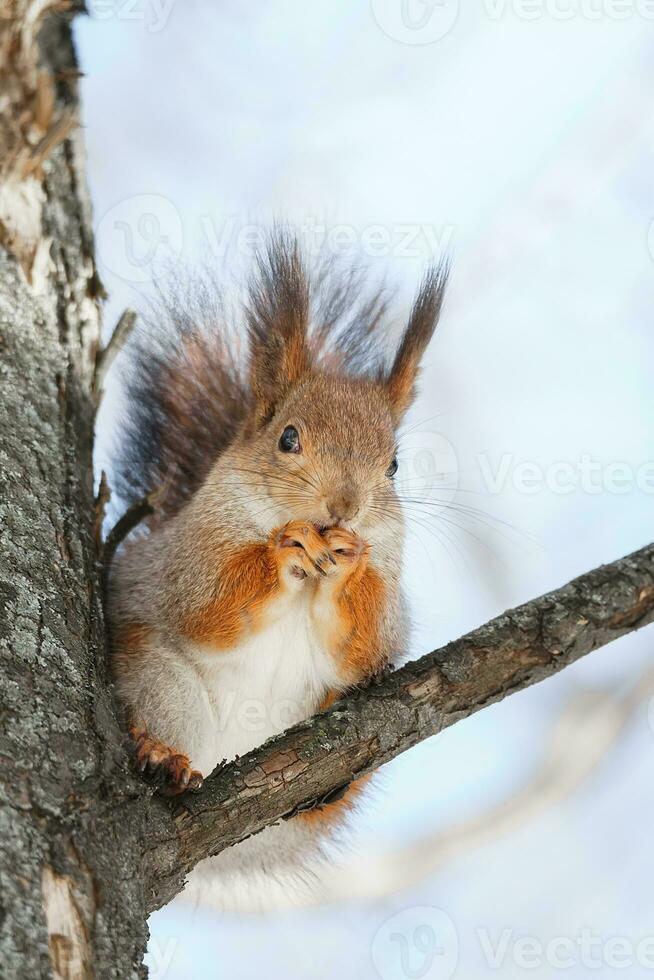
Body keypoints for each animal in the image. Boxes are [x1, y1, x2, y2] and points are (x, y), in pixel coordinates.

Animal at [107, 234, 448, 908]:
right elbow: (205, 606)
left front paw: (347, 566)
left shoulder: (390, 603)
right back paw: (160, 755)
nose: (343, 507)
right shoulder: (183, 562)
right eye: (288, 438)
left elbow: (366, 645)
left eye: (394, 465)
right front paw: (280, 552)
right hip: (156, 679)